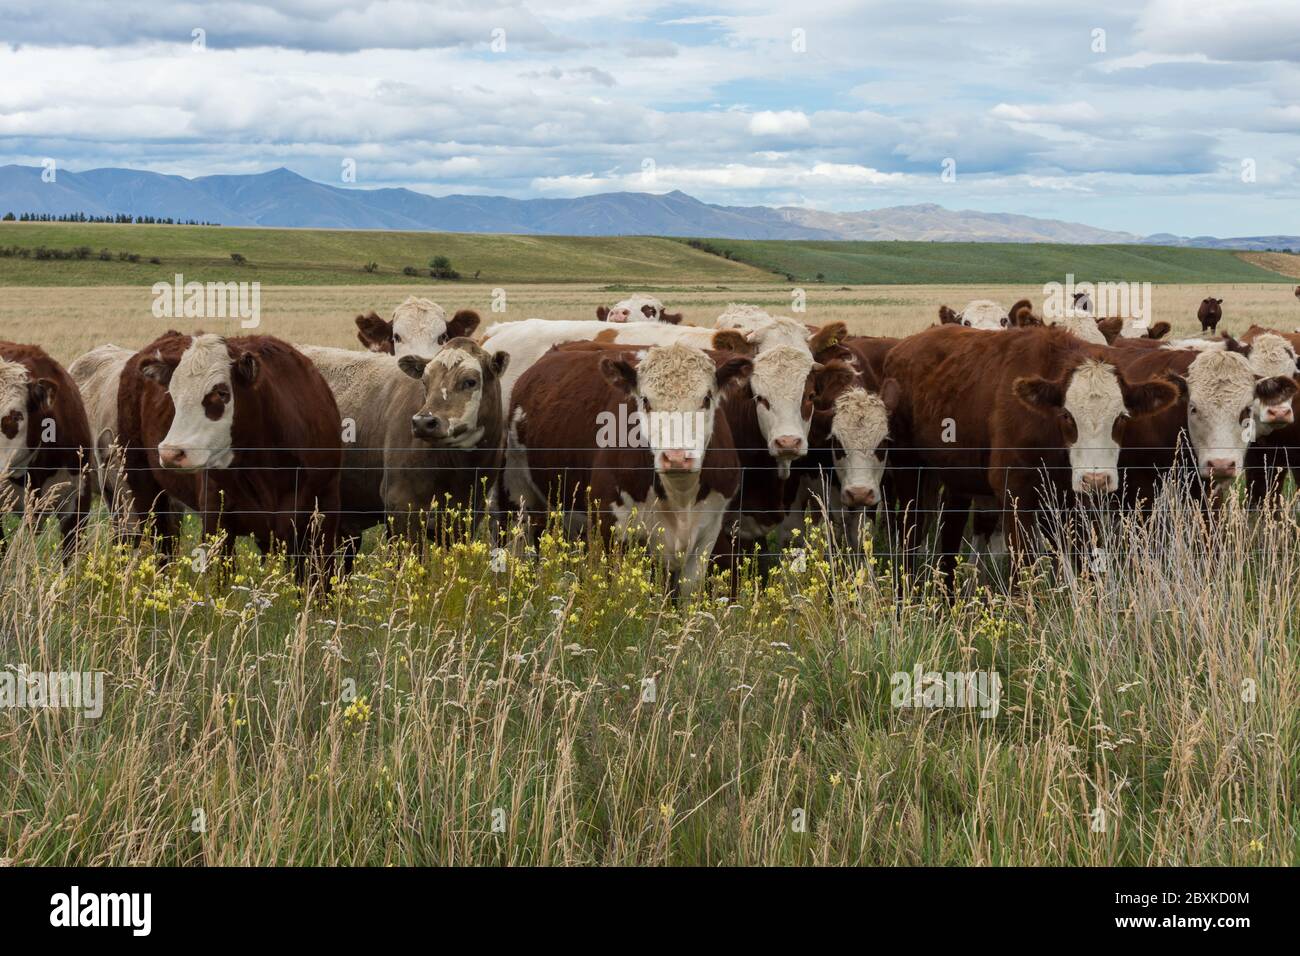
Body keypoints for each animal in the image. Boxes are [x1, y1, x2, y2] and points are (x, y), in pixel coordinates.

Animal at [117, 329, 343, 582]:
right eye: (172, 393)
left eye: (222, 393)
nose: (171, 452)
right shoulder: (217, 521)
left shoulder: (325, 515)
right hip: (142, 485)